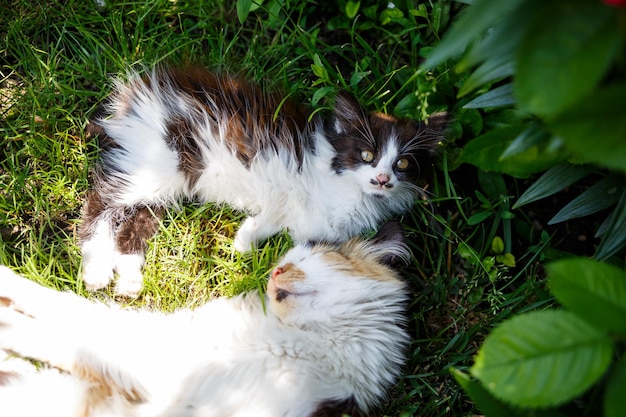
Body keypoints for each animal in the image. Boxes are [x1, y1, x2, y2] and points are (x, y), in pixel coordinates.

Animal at [0, 224, 410, 416]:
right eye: (286, 261)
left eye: (307, 260)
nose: (275, 273)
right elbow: (64, 309)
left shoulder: (159, 366)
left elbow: (65, 329)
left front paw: (8, 322)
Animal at [80, 66, 446, 294]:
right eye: (367, 155)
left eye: (403, 163)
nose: (382, 179)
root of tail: (132, 95)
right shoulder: (295, 174)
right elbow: (283, 202)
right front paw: (245, 244)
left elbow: (273, 222)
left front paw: (243, 241)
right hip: (164, 161)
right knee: (101, 202)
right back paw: (96, 271)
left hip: (166, 181)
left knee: (134, 220)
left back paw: (128, 281)